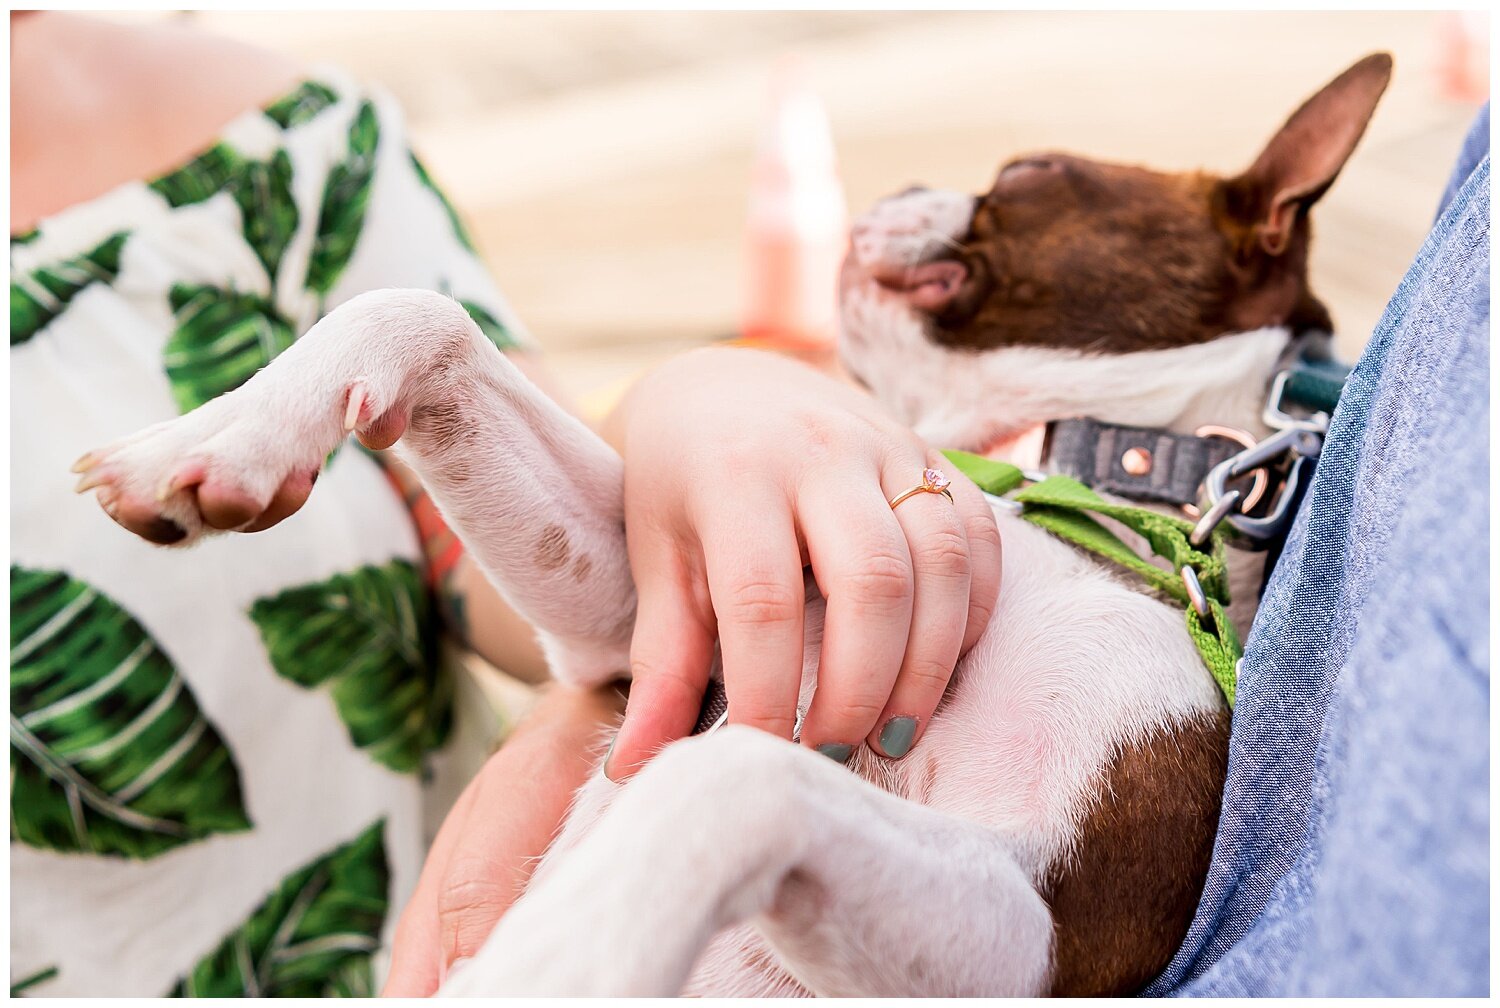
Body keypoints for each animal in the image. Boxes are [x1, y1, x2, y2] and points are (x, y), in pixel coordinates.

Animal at [79, 53, 1392, 990]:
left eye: (1026, 171)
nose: (896, 182)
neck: (1100, 509)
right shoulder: (633, 633)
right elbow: (420, 314)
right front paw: (211, 442)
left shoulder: (1040, 933)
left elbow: (738, 779)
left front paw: (560, 961)